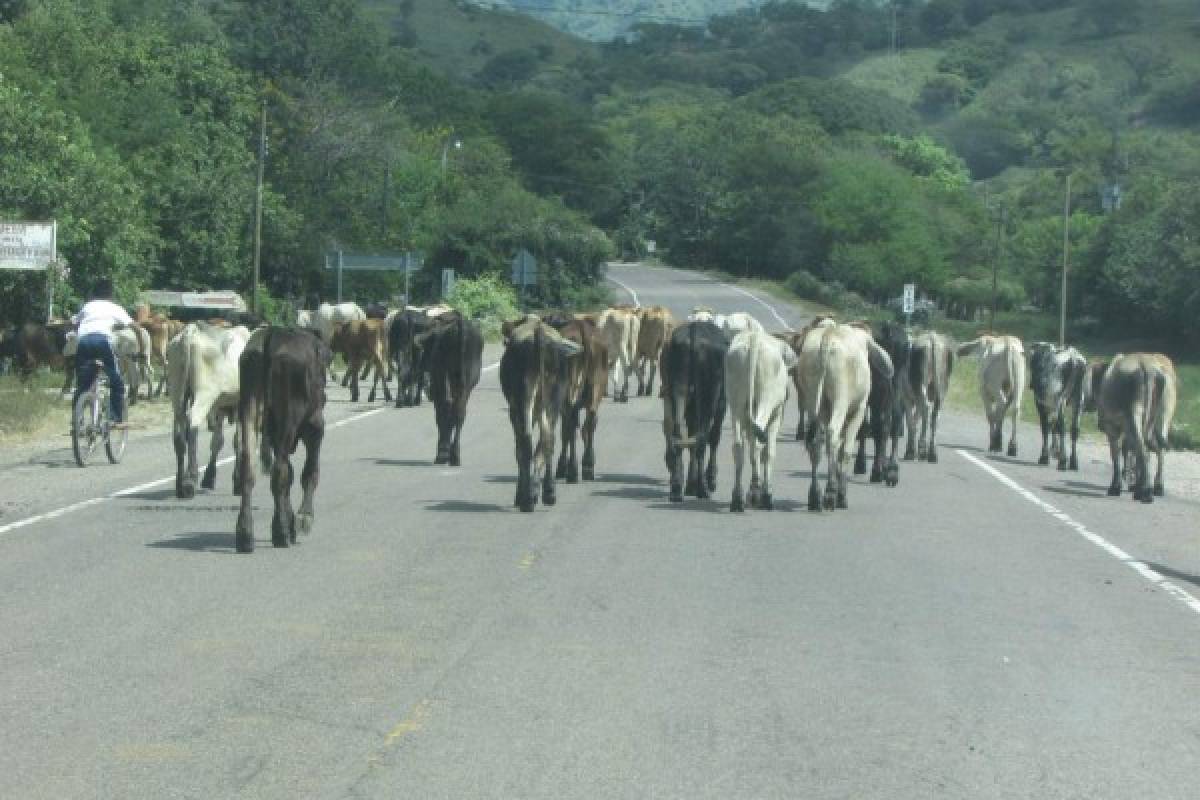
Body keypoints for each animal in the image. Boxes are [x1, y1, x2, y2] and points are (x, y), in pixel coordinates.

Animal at [165, 321, 249, 496]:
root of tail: (191, 331)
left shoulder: (221, 406)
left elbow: (218, 441)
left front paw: (210, 477)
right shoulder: (239, 404)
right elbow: (237, 440)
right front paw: (238, 482)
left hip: (177, 393)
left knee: (179, 430)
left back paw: (179, 484)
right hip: (205, 394)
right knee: (192, 421)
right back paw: (190, 480)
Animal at [234, 328, 331, 554]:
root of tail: (272, 334)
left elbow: (292, 476)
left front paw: (292, 521)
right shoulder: (315, 427)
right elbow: (309, 473)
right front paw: (304, 517)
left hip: (249, 409)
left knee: (249, 467)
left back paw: (245, 534)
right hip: (289, 420)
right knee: (279, 471)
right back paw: (281, 533)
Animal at [420, 309, 480, 465]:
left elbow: (441, 416)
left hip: (443, 379)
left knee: (446, 409)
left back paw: (443, 455)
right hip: (466, 383)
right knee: (459, 412)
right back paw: (455, 455)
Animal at [662, 321, 724, 503]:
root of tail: (693, 330)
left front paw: (690, 484)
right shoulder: (722, 403)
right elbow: (714, 437)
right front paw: (710, 479)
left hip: (677, 389)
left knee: (678, 436)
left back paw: (676, 488)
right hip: (708, 395)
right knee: (701, 439)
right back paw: (703, 488)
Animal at [720, 331, 796, 513]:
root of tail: (754, 339)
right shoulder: (777, 415)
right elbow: (769, 452)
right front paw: (764, 493)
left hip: (736, 404)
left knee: (739, 447)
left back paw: (737, 498)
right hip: (767, 400)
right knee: (759, 442)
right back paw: (762, 494)